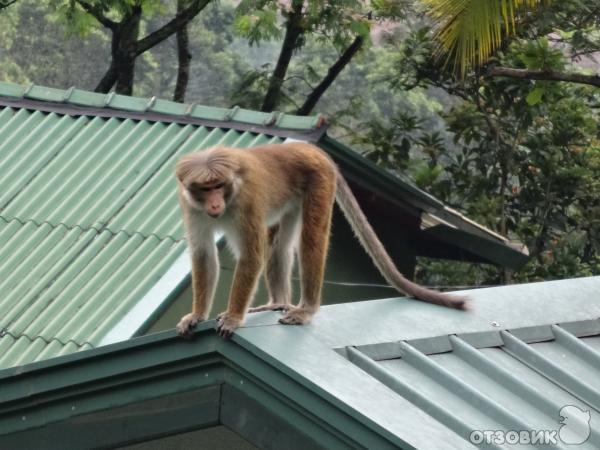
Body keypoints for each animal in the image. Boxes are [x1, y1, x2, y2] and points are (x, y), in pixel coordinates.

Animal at [173, 143, 464, 338]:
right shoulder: (190, 207)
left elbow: (251, 255)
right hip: (291, 197)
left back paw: (306, 310)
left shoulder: (247, 202)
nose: (214, 203)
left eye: (218, 186)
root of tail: (306, 147)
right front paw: (197, 315)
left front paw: (233, 317)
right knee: (279, 244)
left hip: (320, 179)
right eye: (206, 188)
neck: (230, 196)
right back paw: (277, 302)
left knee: (311, 240)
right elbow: (203, 254)